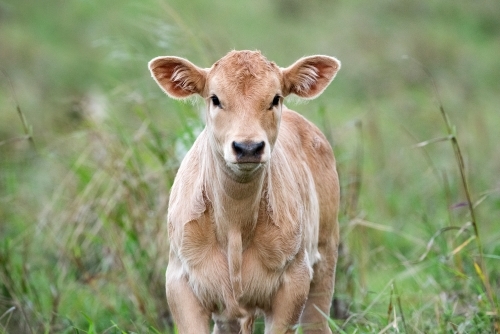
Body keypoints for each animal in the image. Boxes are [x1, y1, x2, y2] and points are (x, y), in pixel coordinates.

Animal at [148, 50, 342, 334]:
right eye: (215, 98)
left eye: (275, 98)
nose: (248, 147)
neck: (234, 227)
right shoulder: (179, 281)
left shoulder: (295, 280)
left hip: (326, 253)